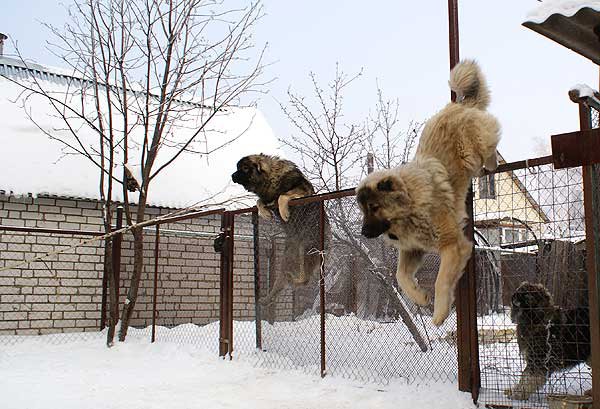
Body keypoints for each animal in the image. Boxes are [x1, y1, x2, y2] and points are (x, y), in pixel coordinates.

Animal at [231, 154, 324, 305]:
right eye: (237, 168)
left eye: (244, 168)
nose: (232, 175)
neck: (269, 180)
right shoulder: (266, 197)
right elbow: (259, 201)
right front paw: (264, 212)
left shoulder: (302, 190)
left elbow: (282, 196)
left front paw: (284, 212)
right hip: (286, 260)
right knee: (283, 281)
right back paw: (267, 299)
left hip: (306, 249)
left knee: (305, 278)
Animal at [356, 60, 500, 326]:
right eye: (363, 210)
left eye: (374, 207)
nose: (363, 232)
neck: (410, 206)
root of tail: (458, 104)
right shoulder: (413, 249)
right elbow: (400, 276)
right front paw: (419, 297)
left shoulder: (453, 245)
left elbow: (441, 281)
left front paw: (440, 313)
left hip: (473, 150)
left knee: (490, 144)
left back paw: (492, 164)